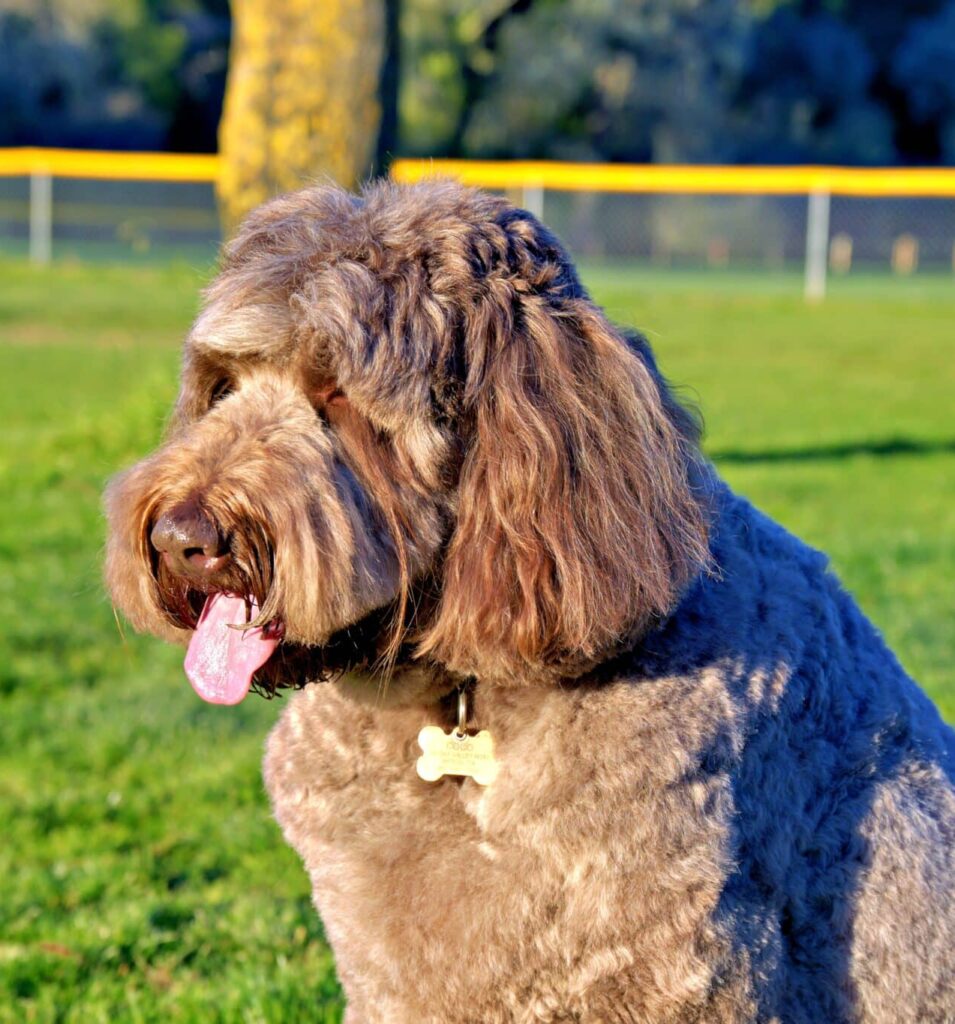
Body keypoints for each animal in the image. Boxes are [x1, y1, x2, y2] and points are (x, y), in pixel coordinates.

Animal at [106, 182, 953, 1024]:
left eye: (339, 393)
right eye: (223, 384)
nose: (181, 539)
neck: (457, 693)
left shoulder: (680, 970)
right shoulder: (389, 978)